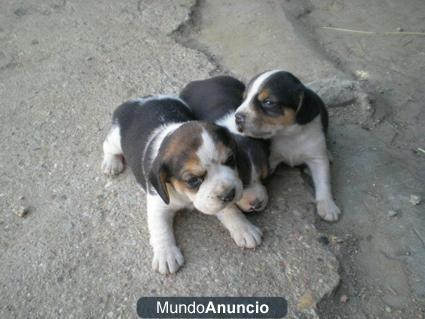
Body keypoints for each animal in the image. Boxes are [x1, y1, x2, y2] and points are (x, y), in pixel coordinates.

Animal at [102, 95, 262, 276]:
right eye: (193, 180)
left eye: (230, 160)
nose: (229, 194)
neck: (186, 196)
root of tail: (137, 100)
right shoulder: (158, 204)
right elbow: (160, 228)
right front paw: (166, 254)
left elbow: (230, 210)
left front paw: (244, 228)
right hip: (115, 139)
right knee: (107, 146)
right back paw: (111, 163)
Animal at [234, 70, 340, 222]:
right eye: (244, 99)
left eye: (268, 102)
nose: (237, 117)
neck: (289, 135)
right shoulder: (271, 159)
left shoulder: (317, 157)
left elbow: (323, 182)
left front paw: (327, 206)